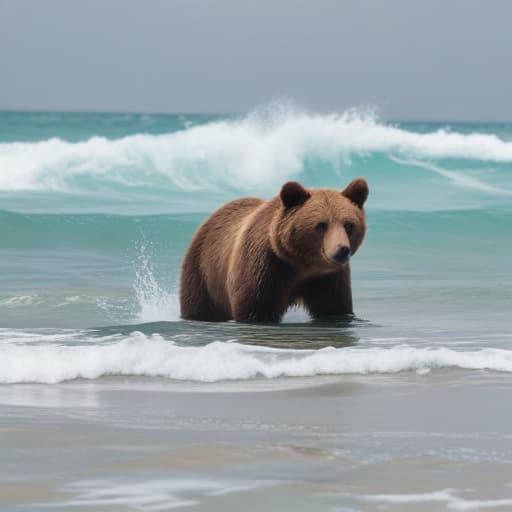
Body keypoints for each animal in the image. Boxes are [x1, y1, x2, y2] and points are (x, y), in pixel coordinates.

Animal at [180, 179, 368, 324]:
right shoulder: (264, 266)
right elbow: (255, 308)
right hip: (202, 271)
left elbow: (334, 308)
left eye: (349, 225)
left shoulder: (328, 278)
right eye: (321, 225)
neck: (302, 264)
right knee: (199, 305)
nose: (341, 250)